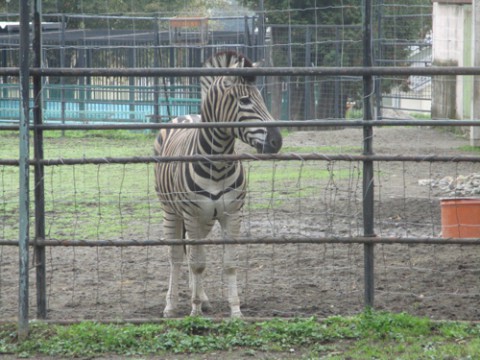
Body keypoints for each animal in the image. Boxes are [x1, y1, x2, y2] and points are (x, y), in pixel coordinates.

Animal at [154, 51, 284, 318]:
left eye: (261, 98)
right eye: (244, 100)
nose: (277, 141)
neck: (218, 164)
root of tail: (185, 115)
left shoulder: (231, 215)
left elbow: (228, 264)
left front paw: (234, 310)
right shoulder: (192, 215)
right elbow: (197, 263)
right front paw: (194, 311)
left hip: (205, 220)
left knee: (192, 252)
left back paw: (202, 298)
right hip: (170, 211)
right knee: (176, 256)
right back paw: (171, 306)